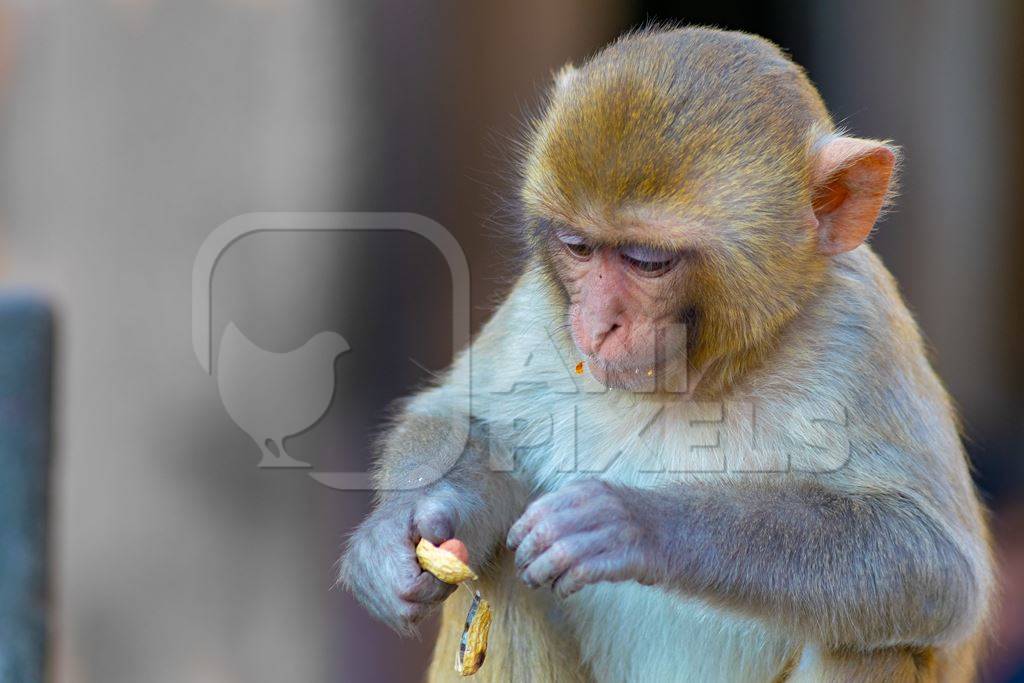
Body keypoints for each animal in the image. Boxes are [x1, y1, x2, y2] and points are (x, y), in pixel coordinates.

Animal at [339, 24, 995, 679]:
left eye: (646, 261)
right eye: (579, 247)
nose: (596, 324)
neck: (695, 379)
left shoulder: (861, 331)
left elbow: (936, 564)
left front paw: (637, 524)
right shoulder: (539, 309)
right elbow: (456, 416)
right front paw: (396, 536)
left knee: (870, 641)